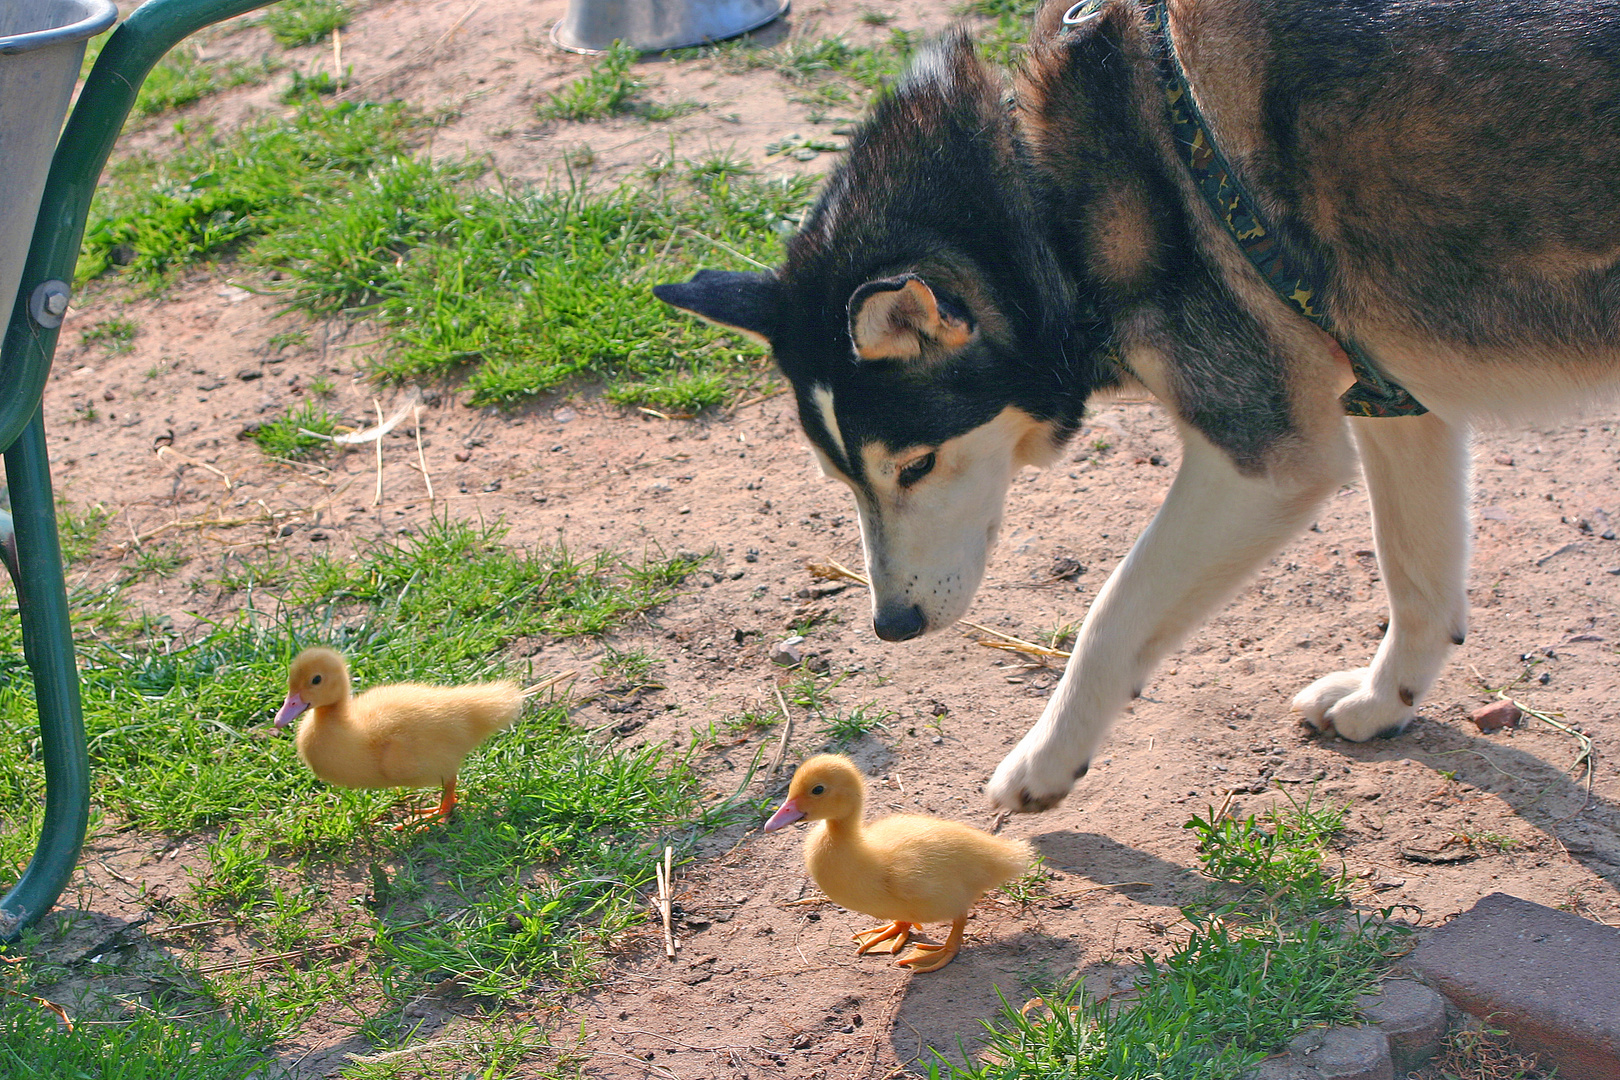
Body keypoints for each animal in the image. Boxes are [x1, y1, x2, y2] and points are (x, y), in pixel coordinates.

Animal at [651, 0, 1620, 809]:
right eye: (842, 481)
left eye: (916, 466)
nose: (892, 626)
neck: (1042, 197)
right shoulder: (1394, 399)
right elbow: (1417, 579)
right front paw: (1386, 702)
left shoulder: (1262, 462)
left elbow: (1110, 619)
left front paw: (1044, 763)